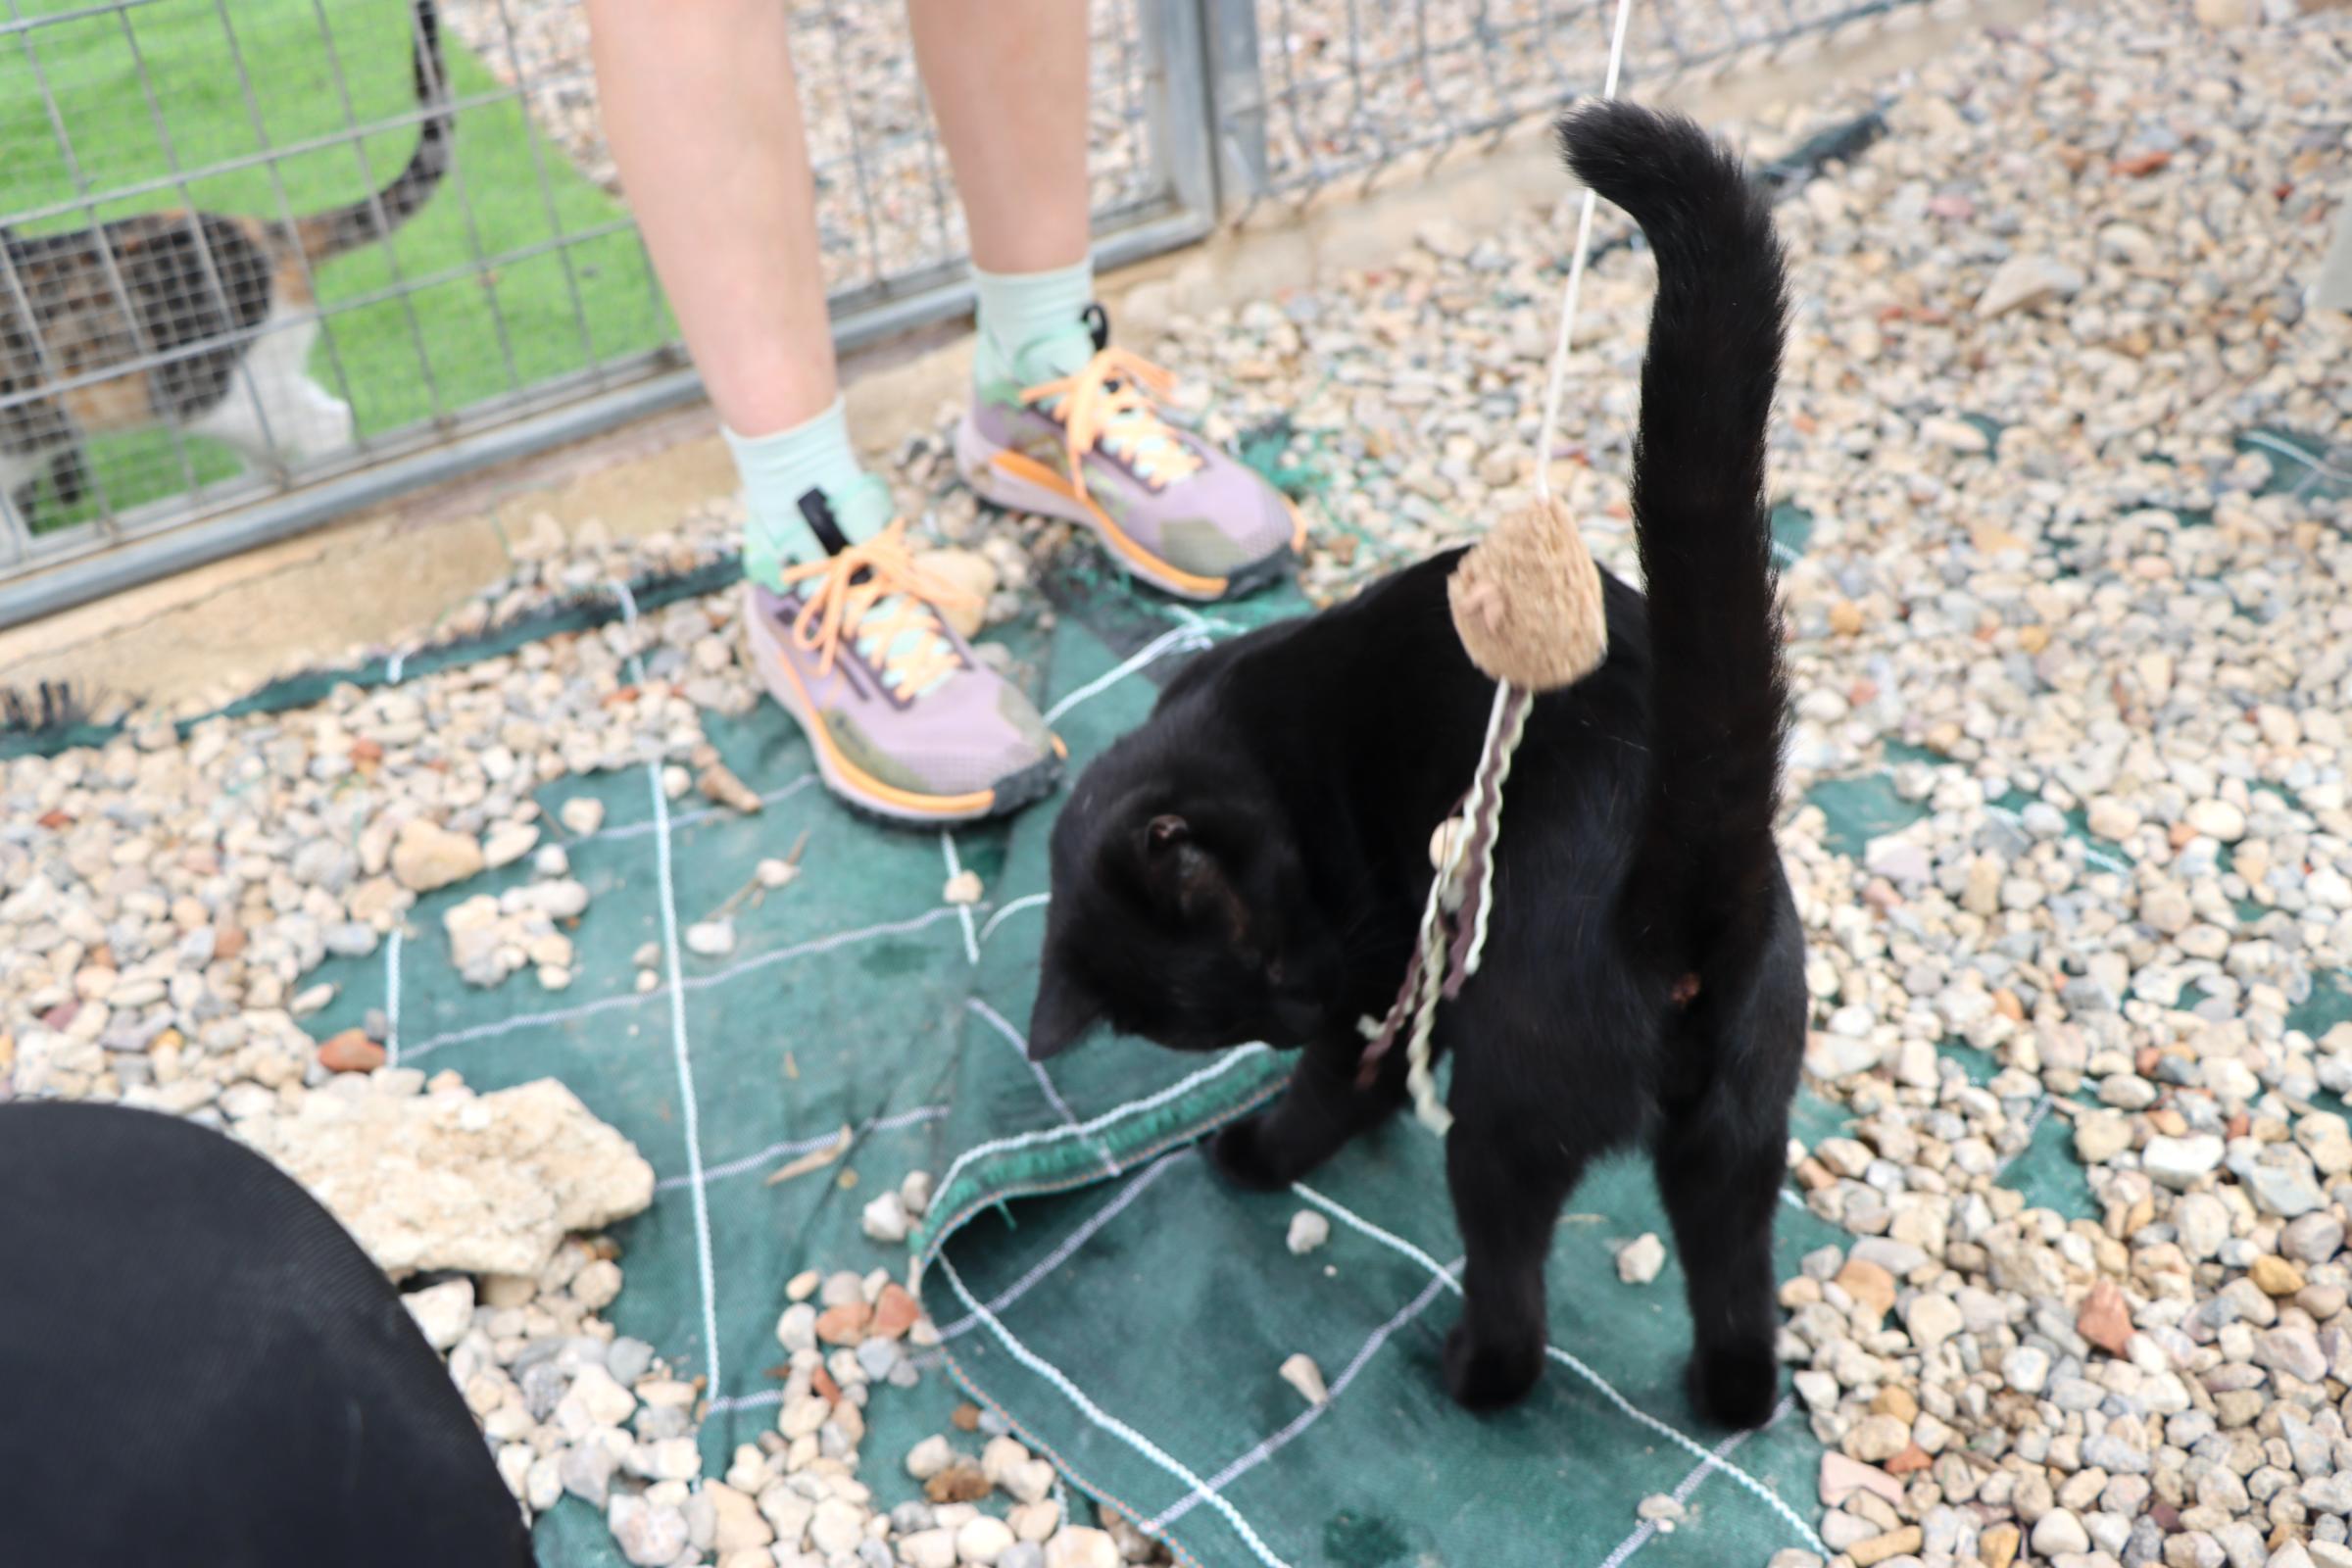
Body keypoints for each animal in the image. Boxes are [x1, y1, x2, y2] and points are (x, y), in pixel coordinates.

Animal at [1024, 101, 1803, 1428]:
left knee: (1517, 1293)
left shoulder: (1386, 964)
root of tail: (1687, 886)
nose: (1297, 1005)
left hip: (1504, 1111)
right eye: (1223, 1013)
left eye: (1262, 957)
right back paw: (1725, 1392)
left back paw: (1468, 1370)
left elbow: (1340, 1088)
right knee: (1737, 1282)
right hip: (1741, 1131)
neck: (1249, 750)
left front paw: (1258, 1152)